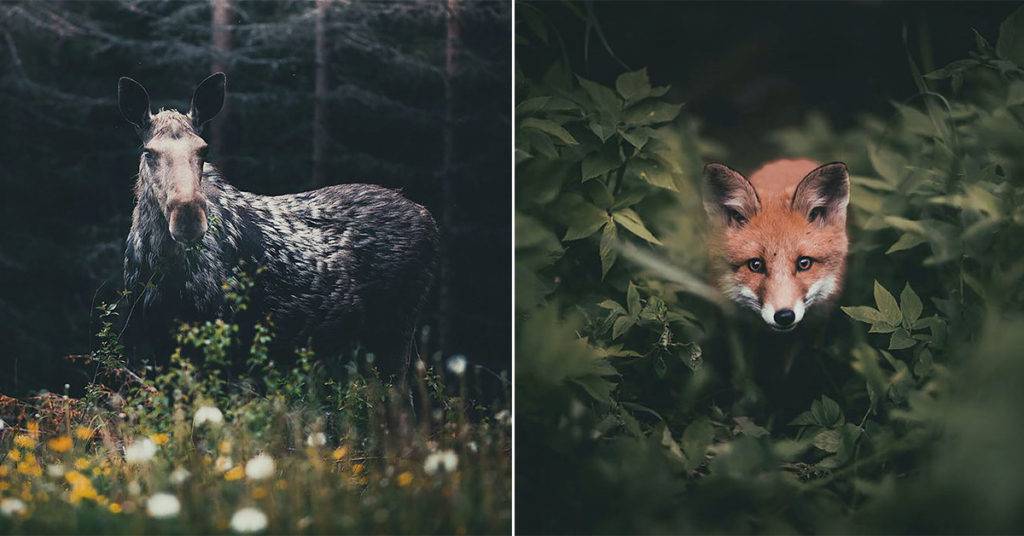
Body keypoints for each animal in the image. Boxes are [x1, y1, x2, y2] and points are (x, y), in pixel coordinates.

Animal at [117, 74, 438, 385]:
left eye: (203, 149)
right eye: (149, 152)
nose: (189, 218)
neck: (160, 266)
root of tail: (429, 218)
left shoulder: (223, 336)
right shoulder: (141, 339)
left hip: (397, 327)